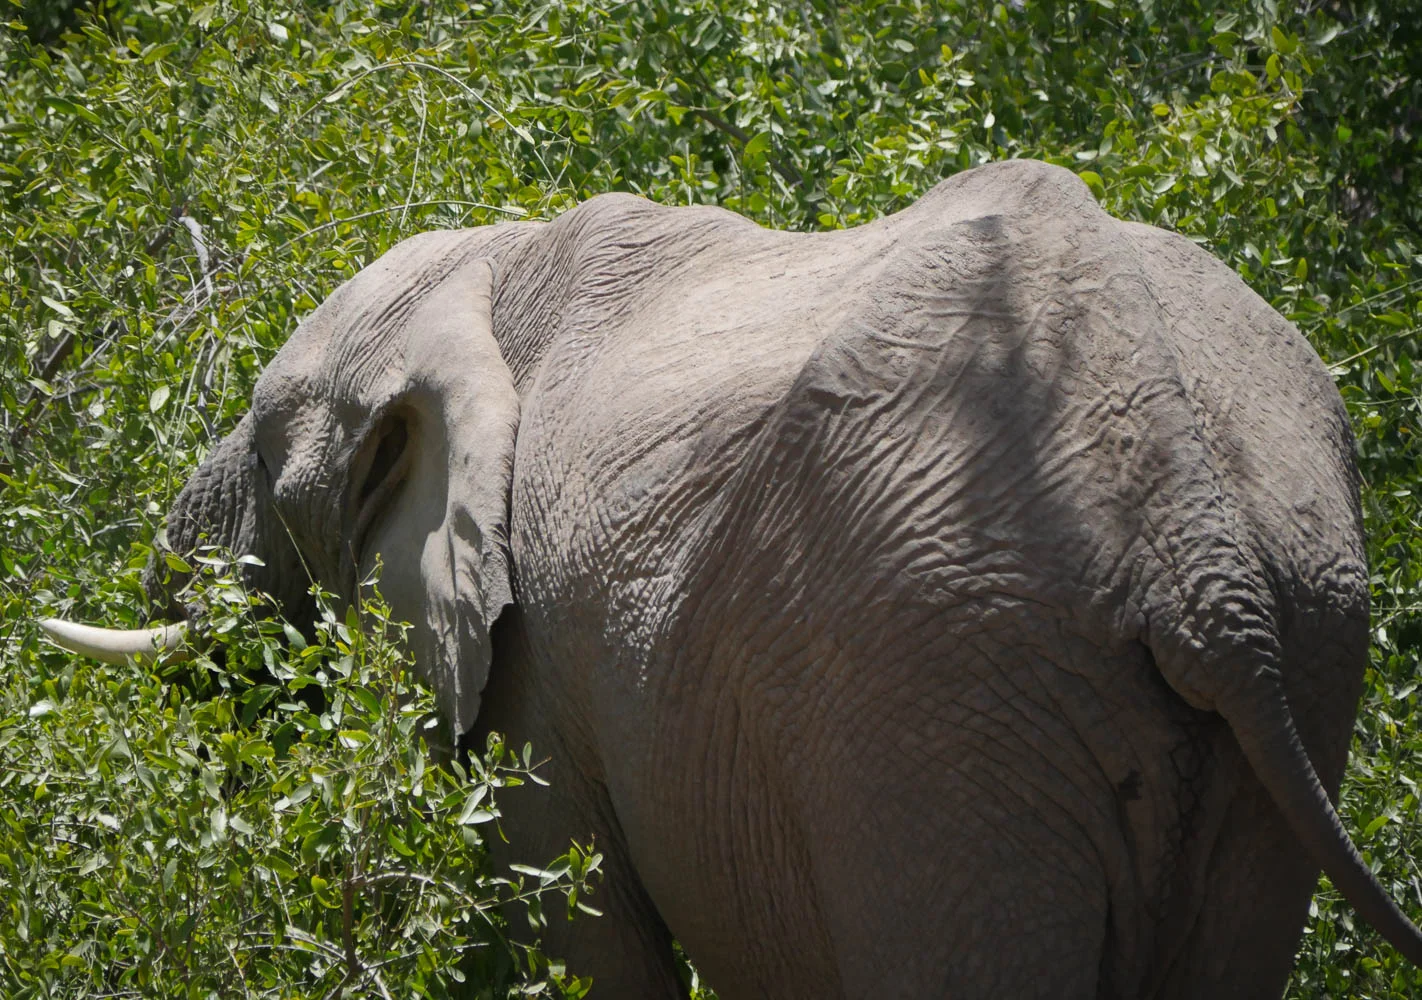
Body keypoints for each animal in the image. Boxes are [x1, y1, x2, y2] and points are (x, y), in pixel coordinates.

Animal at [41, 158, 1422, 998]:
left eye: (271, 453)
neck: (486, 273)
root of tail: (1202, 551)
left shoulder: (538, 674)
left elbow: (573, 941)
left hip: (939, 693)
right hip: (1305, 639)